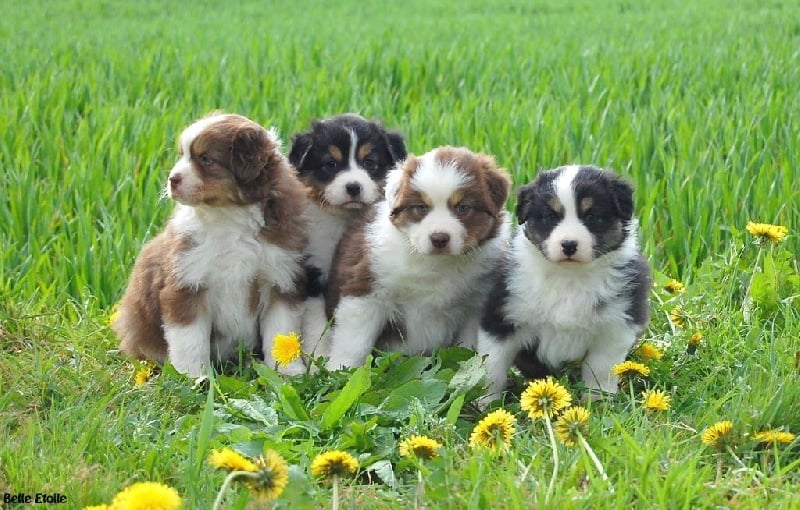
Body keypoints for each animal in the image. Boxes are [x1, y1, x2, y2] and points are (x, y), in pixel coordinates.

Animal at [112, 112, 310, 374]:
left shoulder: (280, 276)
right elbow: (190, 338)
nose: (172, 179)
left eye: (206, 159)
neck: (229, 218)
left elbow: (280, 330)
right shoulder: (187, 281)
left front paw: (288, 371)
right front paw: (194, 375)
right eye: (182, 155)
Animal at [288, 113, 406, 356]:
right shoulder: (315, 272)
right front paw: (319, 357)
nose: (353, 187)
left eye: (369, 162)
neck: (345, 219)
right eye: (331, 164)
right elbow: (317, 324)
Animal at [324, 145, 512, 368]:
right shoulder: (367, 289)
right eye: (421, 208)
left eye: (463, 207)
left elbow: (468, 347)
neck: (437, 264)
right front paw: (340, 370)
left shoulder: (476, 303)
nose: (439, 238)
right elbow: (354, 343)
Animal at [476, 165, 648, 400]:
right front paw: (487, 403)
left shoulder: (616, 325)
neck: (569, 277)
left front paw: (597, 400)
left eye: (592, 215)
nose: (568, 244)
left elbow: (601, 369)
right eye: (550, 216)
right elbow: (492, 367)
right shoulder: (502, 317)